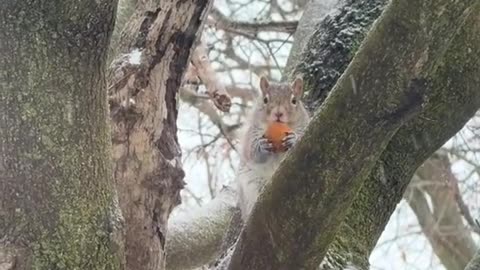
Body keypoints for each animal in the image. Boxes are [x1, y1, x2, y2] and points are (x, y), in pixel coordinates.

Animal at [234, 75, 310, 219]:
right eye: (265, 100)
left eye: (294, 101)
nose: (278, 113)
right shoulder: (251, 134)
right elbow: (251, 152)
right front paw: (261, 146)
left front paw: (293, 139)